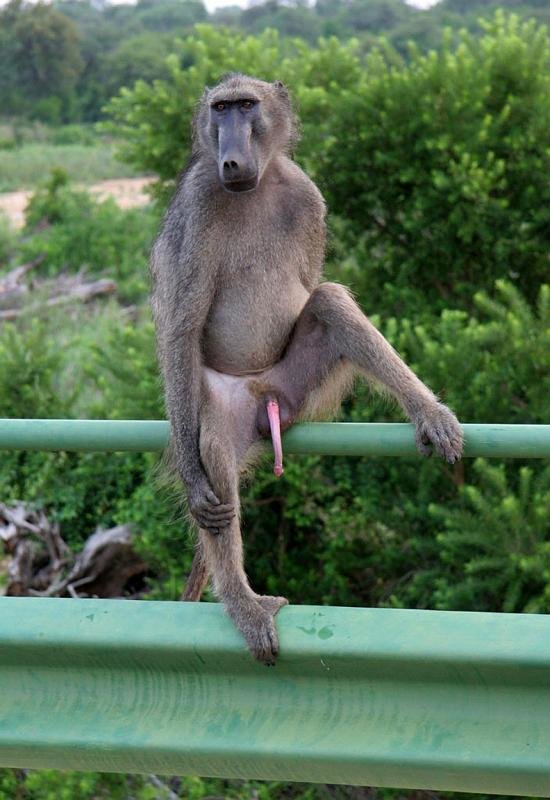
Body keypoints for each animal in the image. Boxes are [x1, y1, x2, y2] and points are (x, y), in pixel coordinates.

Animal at [150, 73, 463, 665]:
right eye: (219, 110)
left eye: (246, 106)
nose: (231, 160)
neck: (253, 189)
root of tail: (267, 399)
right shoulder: (197, 205)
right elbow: (180, 325)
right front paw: (194, 481)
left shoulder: (310, 196)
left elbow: (313, 281)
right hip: (220, 404)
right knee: (214, 448)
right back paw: (244, 603)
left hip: (297, 382)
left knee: (330, 300)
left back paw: (428, 414)